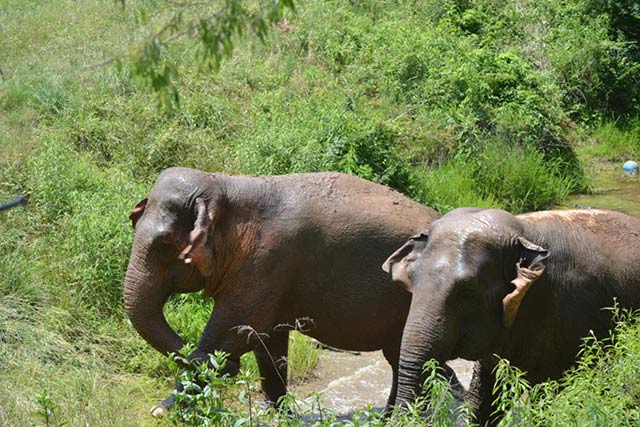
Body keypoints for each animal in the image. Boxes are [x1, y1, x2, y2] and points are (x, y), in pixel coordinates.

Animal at [125, 167, 444, 418]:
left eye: (164, 245)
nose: (231, 367)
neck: (225, 184)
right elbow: (266, 340)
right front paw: (277, 414)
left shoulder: (267, 261)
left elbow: (237, 326)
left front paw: (162, 410)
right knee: (402, 357)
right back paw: (391, 416)